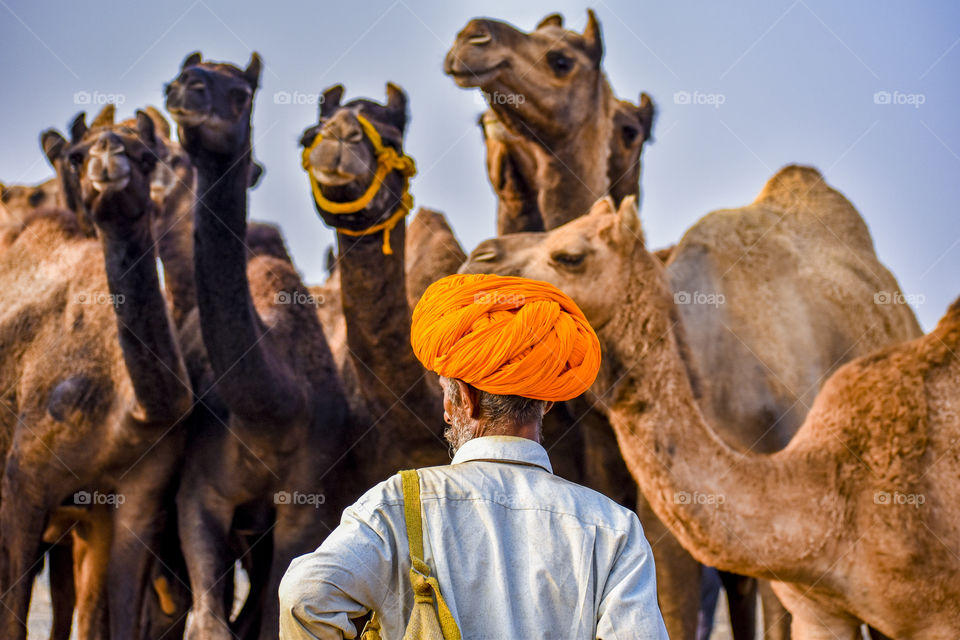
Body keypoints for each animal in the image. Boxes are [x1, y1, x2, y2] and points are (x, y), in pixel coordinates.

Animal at [0, 107, 193, 636]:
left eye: (147, 156)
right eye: (77, 155)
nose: (109, 152)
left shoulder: (138, 502)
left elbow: (116, 615)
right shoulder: (22, 485)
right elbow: (13, 616)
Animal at [165, 51, 356, 640]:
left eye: (241, 93)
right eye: (187, 76)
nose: (187, 87)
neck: (272, 409)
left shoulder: (305, 501)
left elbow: (273, 614)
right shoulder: (200, 494)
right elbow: (210, 621)